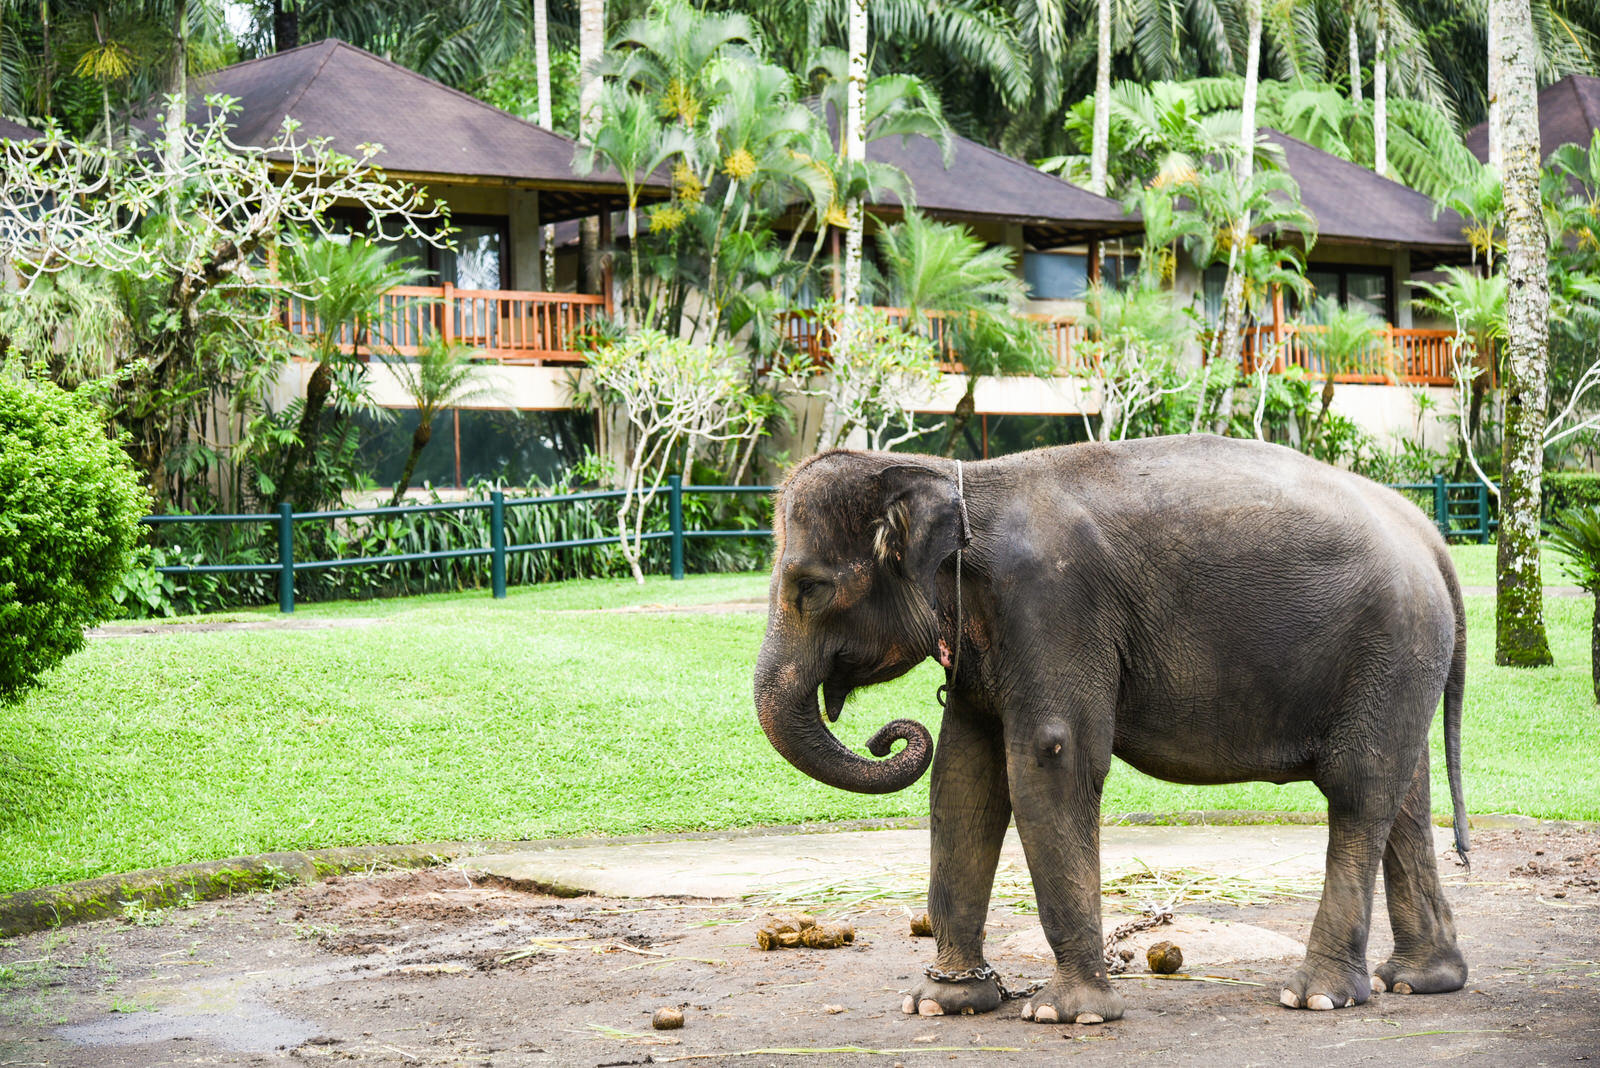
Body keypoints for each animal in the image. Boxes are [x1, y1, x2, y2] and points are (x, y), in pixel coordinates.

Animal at [753, 436, 1469, 1025]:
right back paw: (1420, 981)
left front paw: (1065, 1014)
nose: (887, 735)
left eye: (809, 587)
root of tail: (1428, 533)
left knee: (1358, 790)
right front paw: (942, 1002)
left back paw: (1317, 995)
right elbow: (964, 774)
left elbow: (1051, 756)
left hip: (1391, 644)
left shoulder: (1052, 604)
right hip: (1400, 664)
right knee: (1405, 793)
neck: (958, 479)